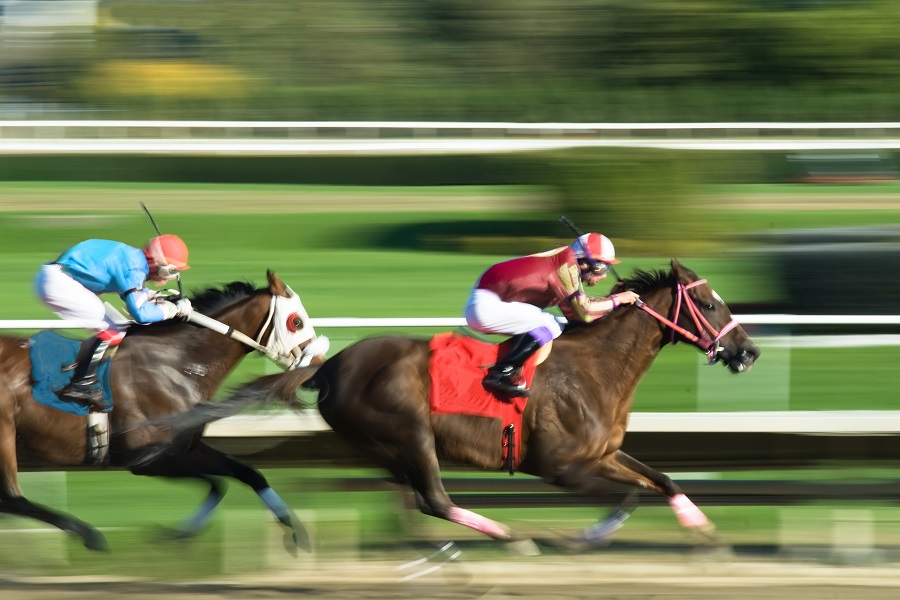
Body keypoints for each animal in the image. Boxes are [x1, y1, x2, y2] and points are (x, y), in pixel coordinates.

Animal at [0, 270, 324, 552]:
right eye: (296, 321)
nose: (319, 365)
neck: (178, 363)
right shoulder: (148, 459)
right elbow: (218, 481)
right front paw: (176, 533)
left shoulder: (186, 446)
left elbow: (244, 475)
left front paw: (294, 528)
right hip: (6, 433)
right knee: (12, 498)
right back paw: (88, 534)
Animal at [190, 260, 760, 552]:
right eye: (709, 303)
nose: (748, 352)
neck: (595, 367)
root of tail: (330, 366)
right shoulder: (562, 468)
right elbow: (629, 497)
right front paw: (575, 538)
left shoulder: (604, 453)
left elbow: (663, 480)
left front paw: (702, 529)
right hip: (411, 433)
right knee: (434, 500)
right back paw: (508, 537)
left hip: (386, 447)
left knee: (411, 503)